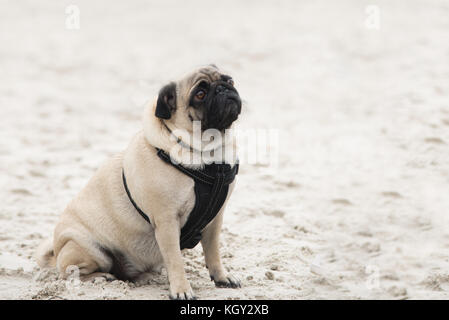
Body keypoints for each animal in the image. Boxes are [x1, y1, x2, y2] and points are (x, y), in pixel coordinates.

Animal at [35, 65, 242, 300]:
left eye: (230, 81)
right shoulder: (166, 222)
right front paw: (181, 289)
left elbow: (213, 251)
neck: (209, 155)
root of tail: (57, 252)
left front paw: (221, 277)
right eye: (200, 94)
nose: (223, 89)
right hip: (90, 249)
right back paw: (102, 277)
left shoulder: (215, 219)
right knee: (72, 273)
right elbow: (175, 260)